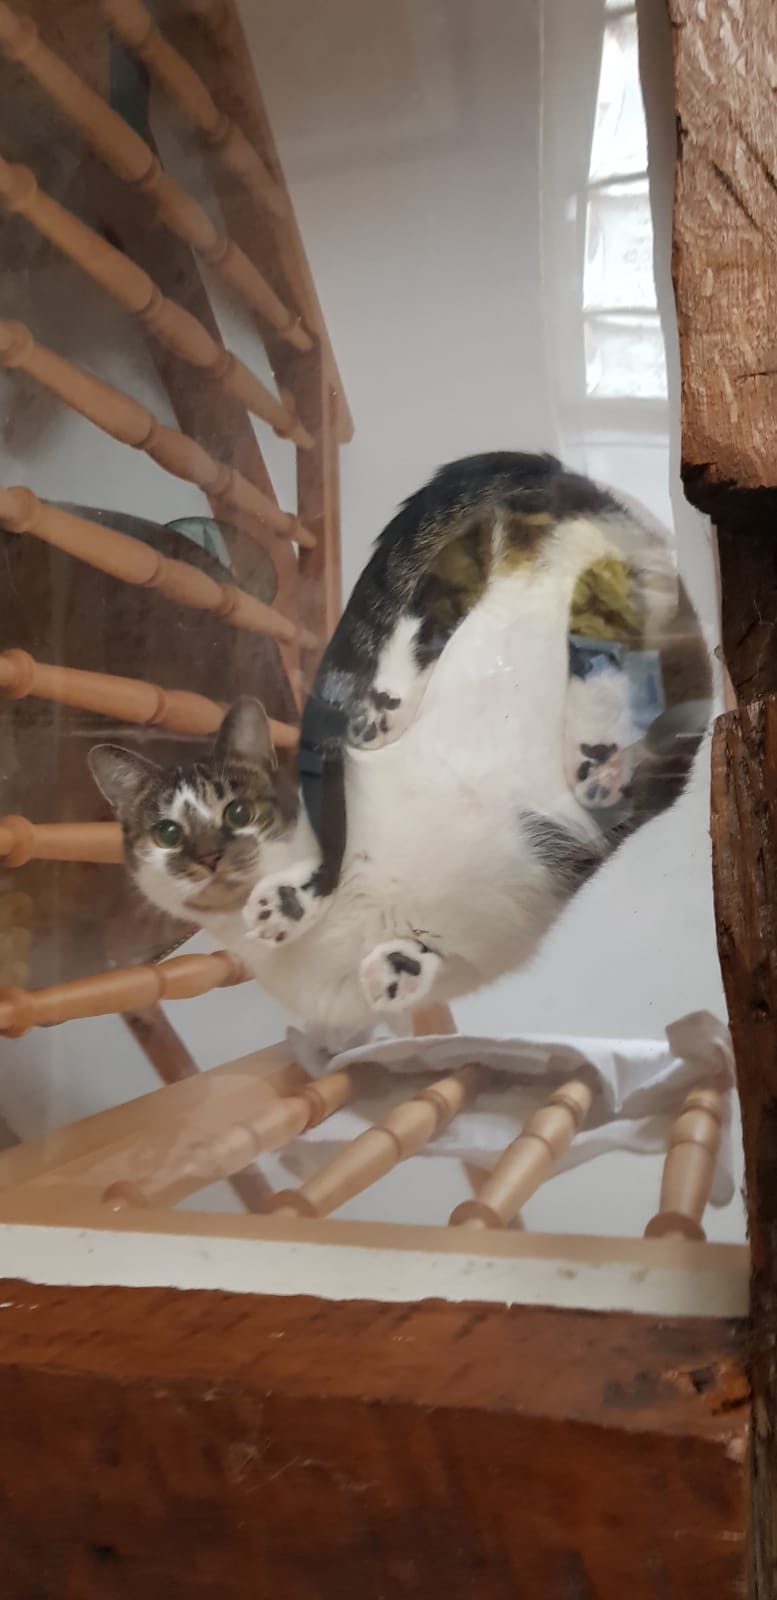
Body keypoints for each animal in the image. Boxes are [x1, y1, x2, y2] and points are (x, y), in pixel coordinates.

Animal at [89, 452, 712, 1048]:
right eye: (168, 833)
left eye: (237, 810)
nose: (209, 857)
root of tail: (561, 476)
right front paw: (396, 961)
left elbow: (343, 858)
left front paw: (303, 906)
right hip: (498, 564)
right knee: (453, 617)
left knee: (606, 656)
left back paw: (589, 754)